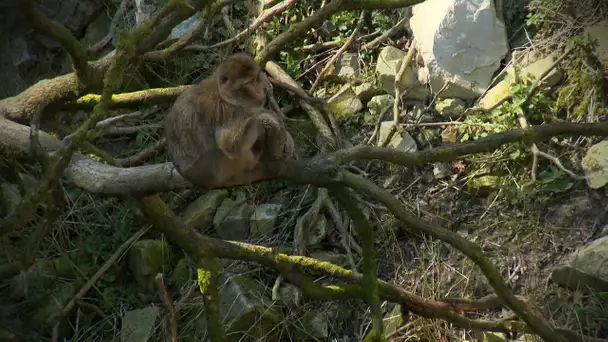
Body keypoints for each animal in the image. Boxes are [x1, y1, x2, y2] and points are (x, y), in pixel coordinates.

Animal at [163, 52, 294, 190]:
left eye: (255, 79)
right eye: (248, 84)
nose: (259, 90)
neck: (225, 95)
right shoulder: (226, 110)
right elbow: (229, 145)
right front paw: (266, 118)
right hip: (224, 169)